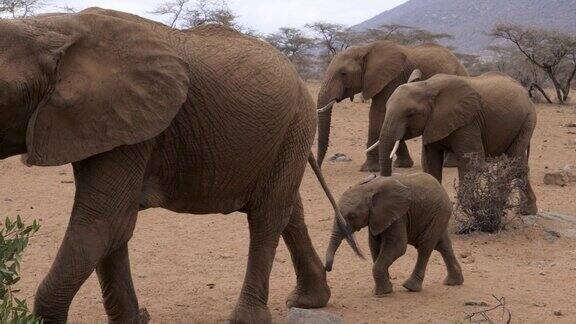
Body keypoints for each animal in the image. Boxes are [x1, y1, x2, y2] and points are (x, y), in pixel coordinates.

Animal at [0, 8, 360, 324]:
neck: (53, 28)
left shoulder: (132, 123)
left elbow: (102, 221)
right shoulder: (108, 124)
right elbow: (115, 226)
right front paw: (135, 320)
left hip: (295, 124)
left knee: (266, 216)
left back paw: (250, 318)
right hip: (286, 136)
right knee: (289, 209)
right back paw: (309, 301)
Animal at [316, 40, 468, 172]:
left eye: (343, 73)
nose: (319, 167)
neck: (366, 49)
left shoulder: (393, 78)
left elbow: (378, 113)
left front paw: (369, 169)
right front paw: (402, 165)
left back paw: (450, 164)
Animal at [324, 175, 464, 296]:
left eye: (352, 216)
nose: (327, 269)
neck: (369, 188)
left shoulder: (399, 215)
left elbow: (397, 247)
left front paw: (382, 293)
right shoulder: (377, 218)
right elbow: (374, 246)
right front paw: (385, 288)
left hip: (438, 213)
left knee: (425, 246)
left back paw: (410, 287)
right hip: (437, 215)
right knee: (442, 245)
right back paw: (453, 282)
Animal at [376, 72, 536, 216]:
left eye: (411, 113)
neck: (427, 86)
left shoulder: (468, 121)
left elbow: (470, 162)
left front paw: (466, 210)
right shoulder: (432, 123)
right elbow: (430, 162)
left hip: (527, 120)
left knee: (515, 160)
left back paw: (510, 208)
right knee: (518, 162)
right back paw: (524, 210)